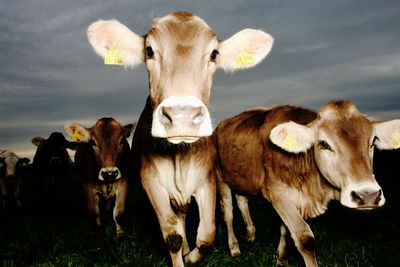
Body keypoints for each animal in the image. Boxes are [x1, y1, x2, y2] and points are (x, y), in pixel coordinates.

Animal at [86, 11, 276, 267]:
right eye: (149, 50)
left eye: (214, 54)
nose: (182, 115)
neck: (178, 156)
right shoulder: (151, 182)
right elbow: (172, 235)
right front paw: (182, 253)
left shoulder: (207, 181)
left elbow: (206, 236)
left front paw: (193, 255)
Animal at [214, 100, 398, 267]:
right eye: (324, 144)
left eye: (373, 142)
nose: (368, 196)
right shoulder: (277, 192)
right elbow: (304, 239)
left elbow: (285, 230)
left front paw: (280, 259)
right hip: (220, 177)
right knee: (227, 213)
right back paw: (234, 248)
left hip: (241, 176)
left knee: (242, 201)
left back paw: (250, 233)